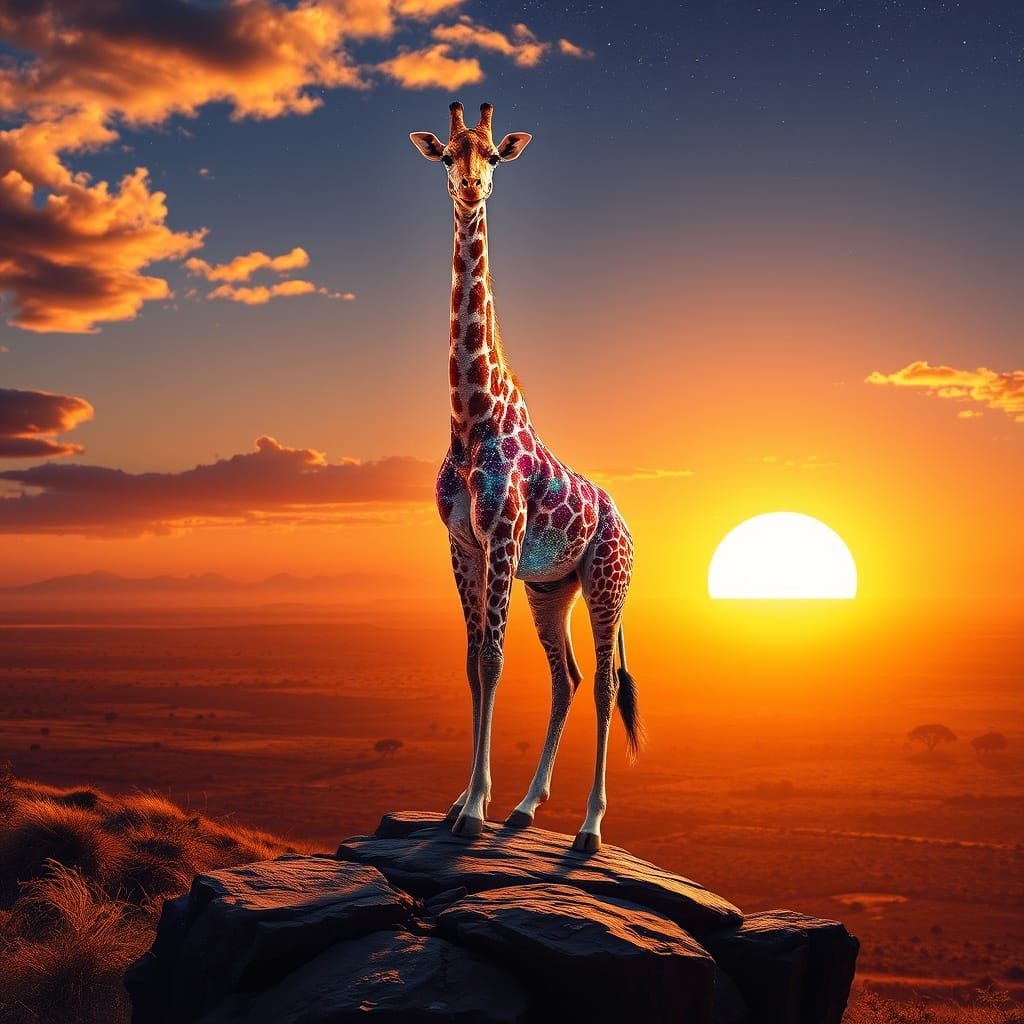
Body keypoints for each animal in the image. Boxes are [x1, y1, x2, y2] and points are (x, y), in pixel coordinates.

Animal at [410, 101, 643, 853]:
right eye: (447, 153)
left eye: (492, 155)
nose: (471, 187)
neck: (471, 417)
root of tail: (626, 522)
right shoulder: (462, 544)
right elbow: (470, 662)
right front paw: (464, 802)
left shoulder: (504, 536)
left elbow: (491, 660)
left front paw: (472, 811)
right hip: (551, 589)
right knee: (566, 678)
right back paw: (526, 808)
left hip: (606, 581)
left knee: (604, 682)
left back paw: (589, 828)